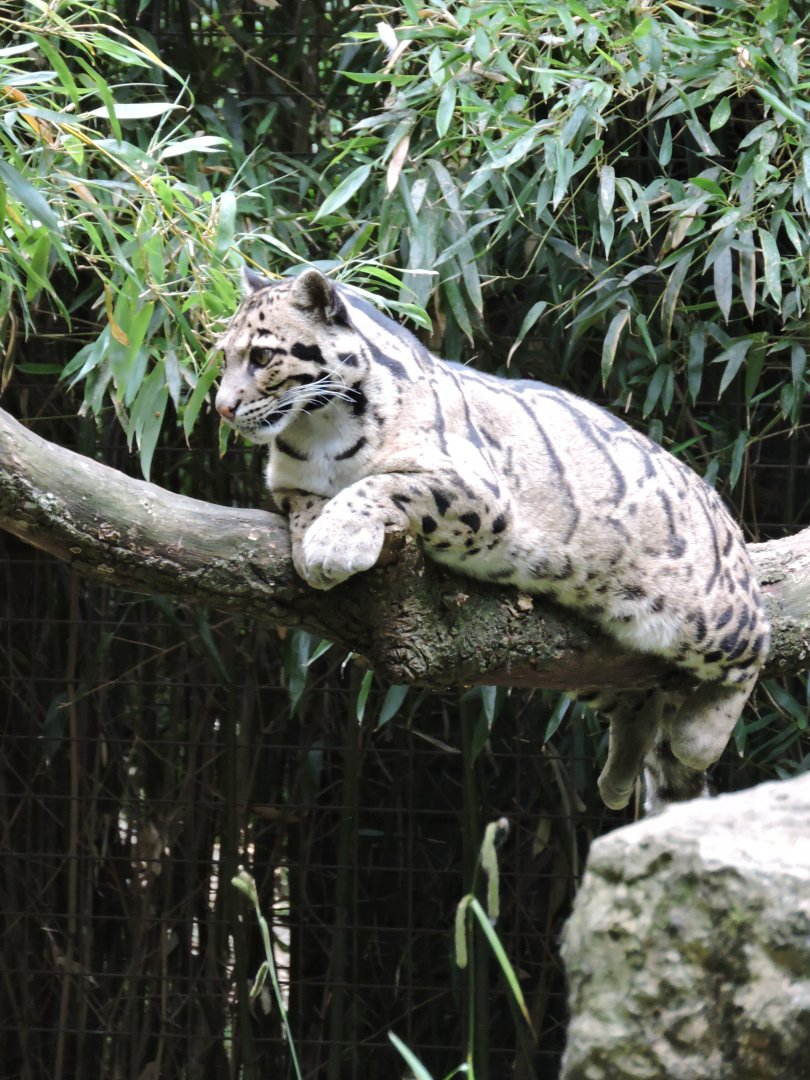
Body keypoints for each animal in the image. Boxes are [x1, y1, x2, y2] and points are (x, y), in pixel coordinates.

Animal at [215, 267, 770, 813]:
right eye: (222, 356)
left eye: (262, 355)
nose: (221, 408)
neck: (317, 429)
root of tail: (726, 516)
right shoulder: (288, 484)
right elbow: (307, 503)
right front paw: (315, 541)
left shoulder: (476, 491)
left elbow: (382, 484)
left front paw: (334, 541)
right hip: (584, 660)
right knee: (639, 700)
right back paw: (618, 779)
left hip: (709, 617)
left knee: (758, 639)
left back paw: (697, 738)